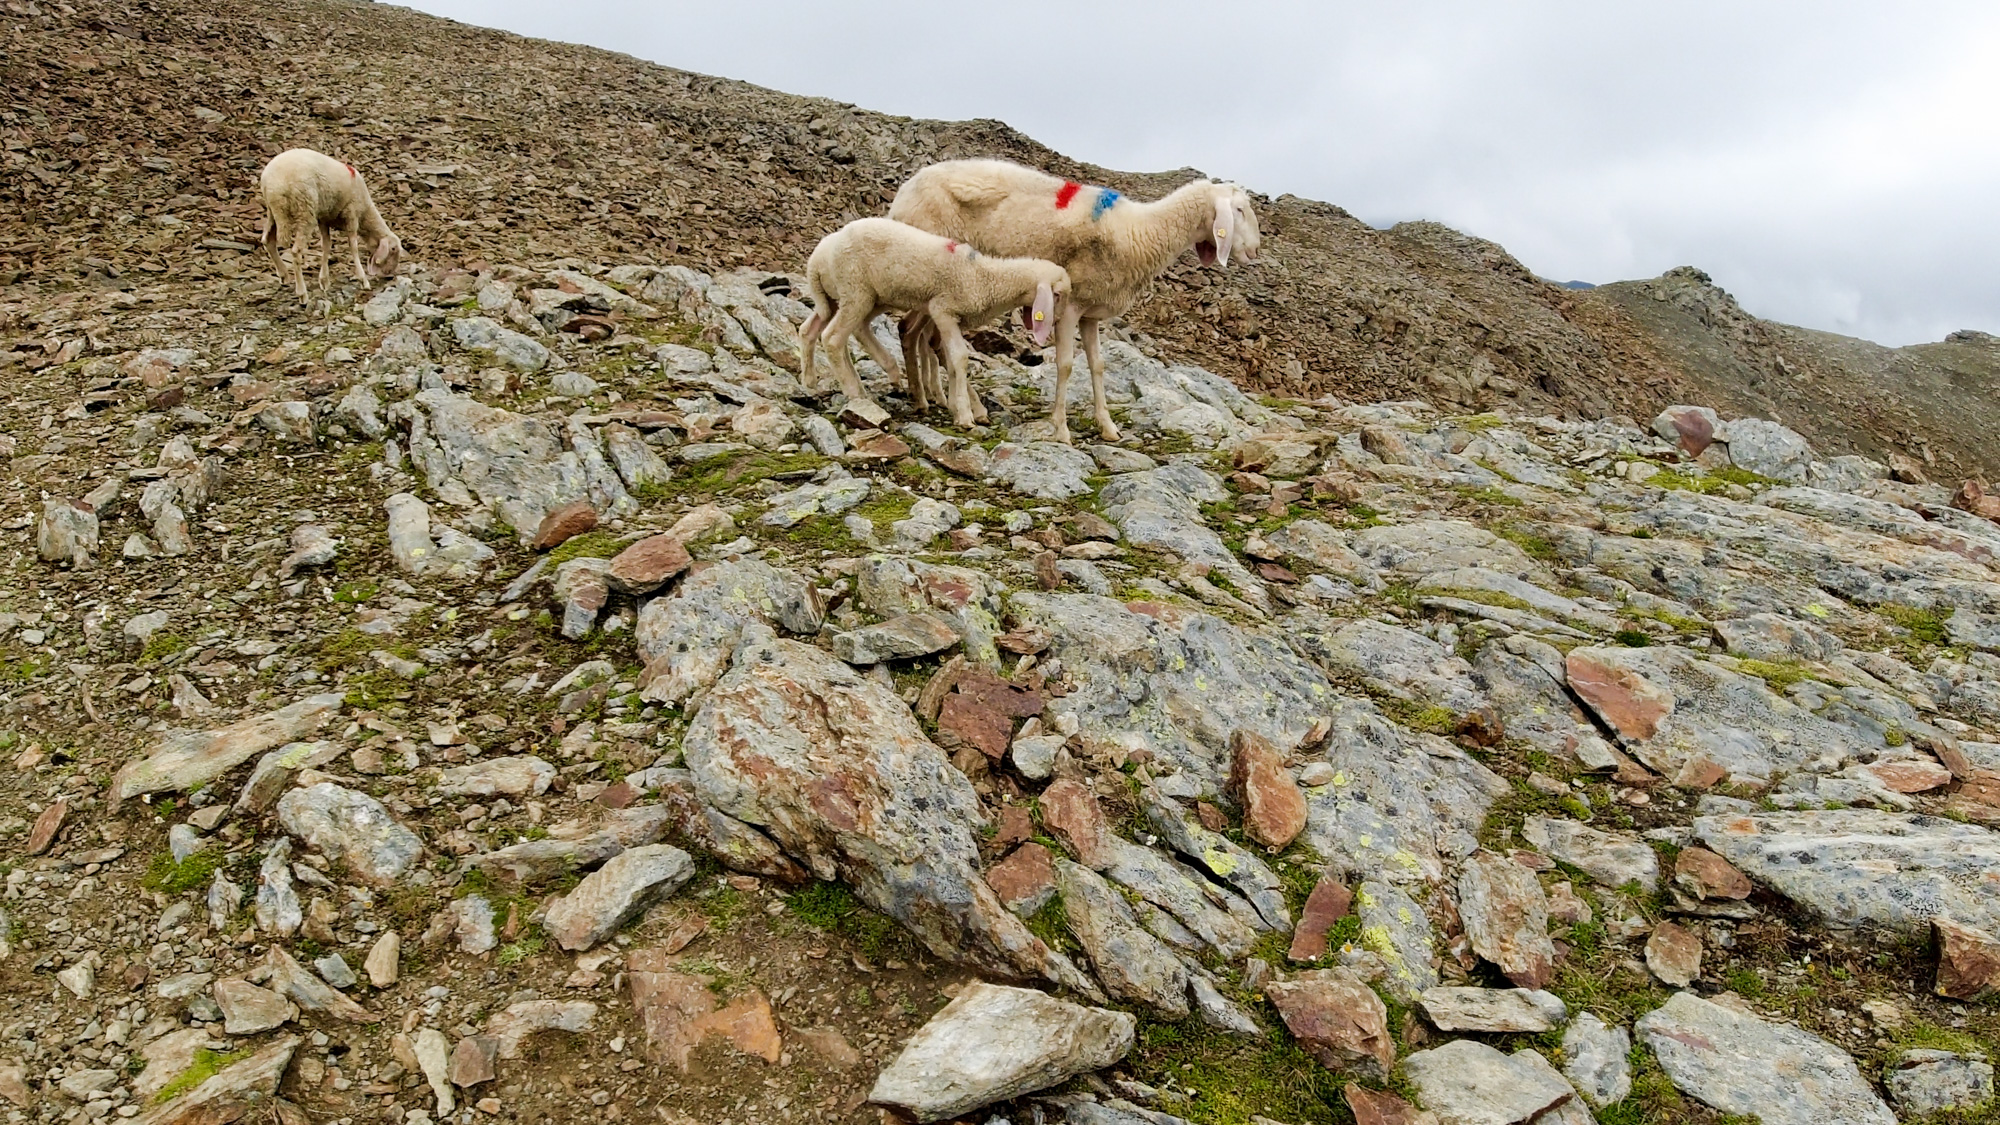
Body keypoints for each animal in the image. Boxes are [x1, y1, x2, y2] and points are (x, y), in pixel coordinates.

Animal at [256, 151, 400, 306]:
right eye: (393, 249)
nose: (389, 274)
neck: (365, 213)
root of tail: (275, 185)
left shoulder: (324, 219)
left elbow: (326, 245)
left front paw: (324, 280)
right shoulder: (351, 213)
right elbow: (353, 247)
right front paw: (363, 280)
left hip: (272, 211)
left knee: (267, 240)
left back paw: (283, 275)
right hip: (305, 210)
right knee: (296, 252)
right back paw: (302, 293)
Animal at [800, 217, 1072, 426]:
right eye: (1058, 295)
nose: (1059, 323)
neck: (985, 278)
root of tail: (816, 259)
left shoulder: (950, 319)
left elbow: (950, 360)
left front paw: (965, 408)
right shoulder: (943, 310)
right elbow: (959, 357)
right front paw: (965, 415)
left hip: (849, 298)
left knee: (815, 329)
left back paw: (815, 380)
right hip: (856, 291)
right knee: (833, 338)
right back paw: (855, 392)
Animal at [896, 160, 1264, 440]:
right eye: (1239, 210)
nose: (1254, 252)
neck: (1139, 230)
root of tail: (903, 192)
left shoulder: (1092, 313)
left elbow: (1098, 366)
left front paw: (1108, 427)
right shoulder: (1070, 305)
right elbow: (1065, 364)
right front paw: (1061, 429)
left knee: (917, 334)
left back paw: (928, 396)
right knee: (922, 335)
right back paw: (954, 405)